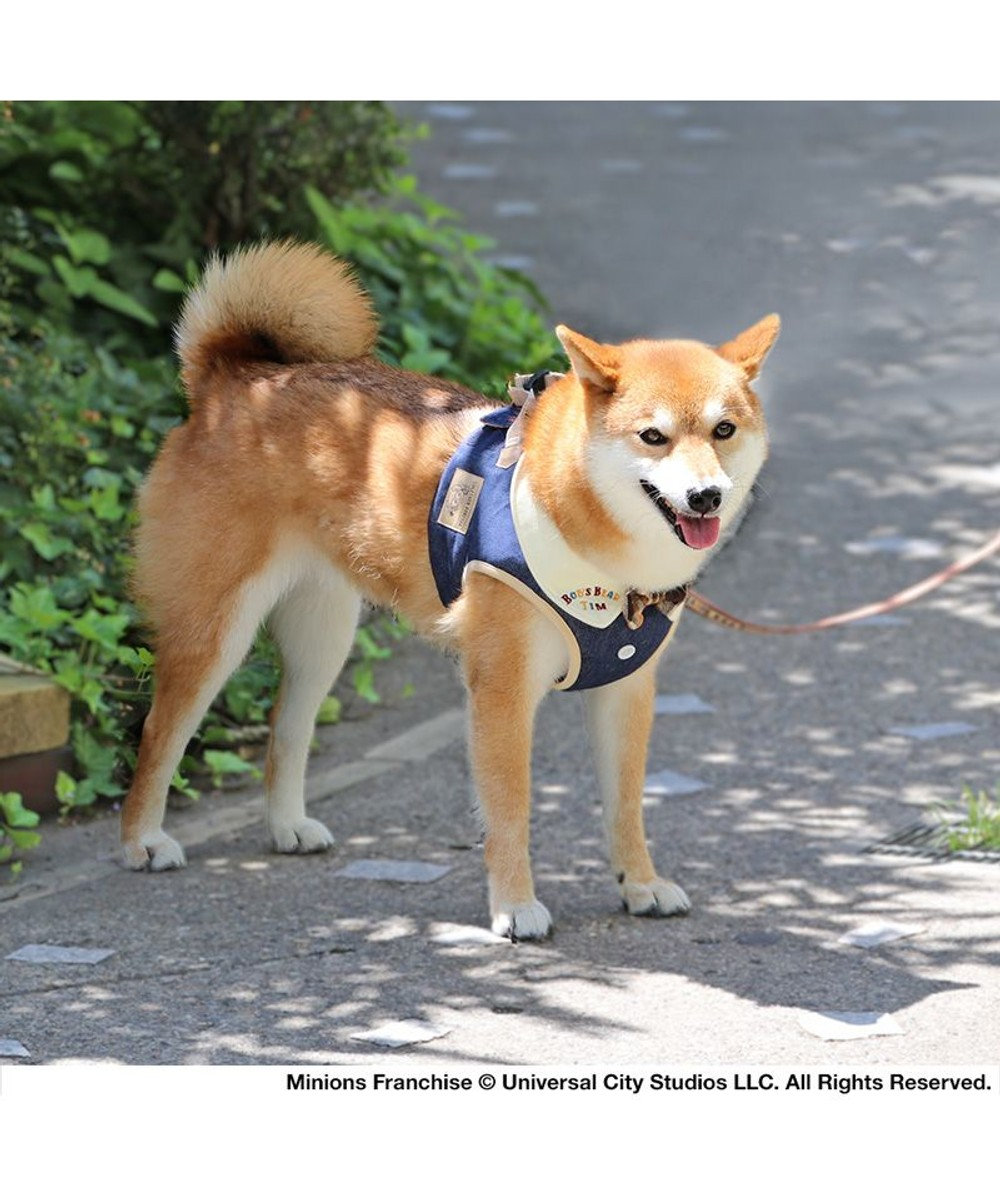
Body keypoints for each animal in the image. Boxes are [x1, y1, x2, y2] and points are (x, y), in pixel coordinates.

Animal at [123, 241, 777, 936]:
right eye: (653, 436)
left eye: (724, 431)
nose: (706, 496)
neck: (610, 564)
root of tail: (231, 379)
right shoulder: (502, 689)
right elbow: (511, 809)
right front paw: (515, 906)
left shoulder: (627, 690)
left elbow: (626, 806)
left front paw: (641, 885)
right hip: (215, 630)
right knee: (159, 732)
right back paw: (142, 840)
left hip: (322, 638)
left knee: (285, 727)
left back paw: (287, 826)